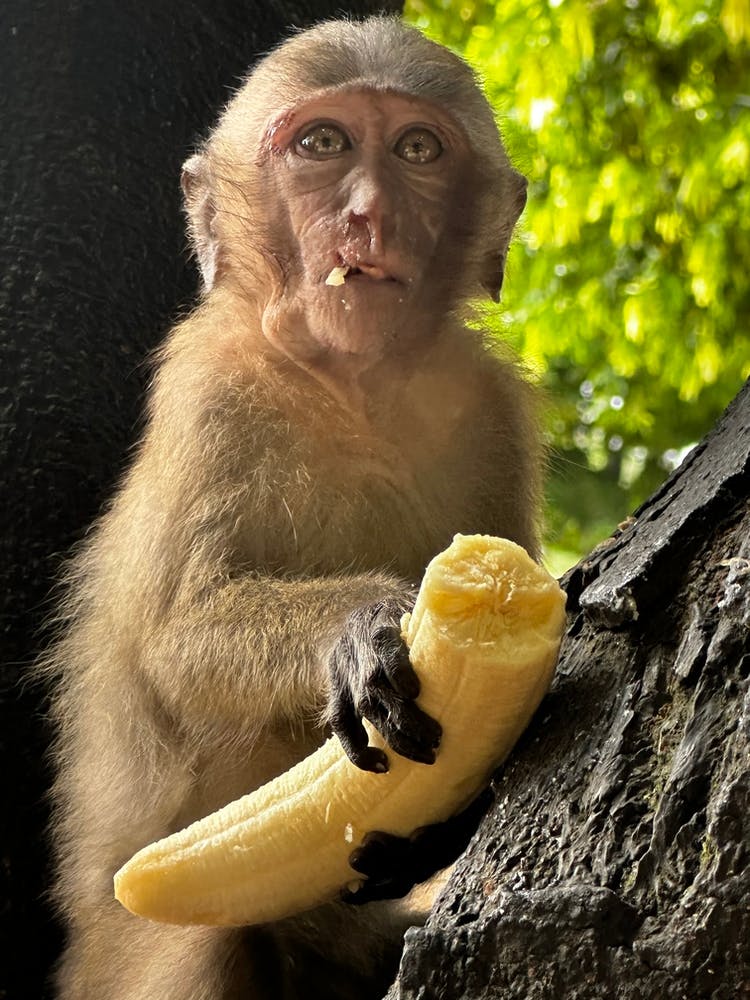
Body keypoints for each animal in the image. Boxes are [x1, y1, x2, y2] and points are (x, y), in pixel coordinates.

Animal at [43, 15, 540, 1000]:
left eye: (417, 149)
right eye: (323, 144)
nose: (368, 215)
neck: (356, 387)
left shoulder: (491, 410)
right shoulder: (211, 391)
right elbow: (176, 639)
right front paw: (360, 627)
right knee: (210, 941)